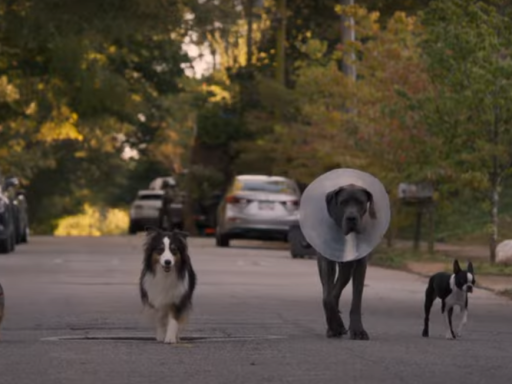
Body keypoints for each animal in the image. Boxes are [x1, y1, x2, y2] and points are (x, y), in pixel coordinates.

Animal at [304, 183, 376, 340]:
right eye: (343, 203)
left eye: (361, 202)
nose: (351, 218)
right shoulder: (325, 260)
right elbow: (327, 297)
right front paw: (335, 326)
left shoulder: (360, 263)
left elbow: (356, 299)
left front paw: (357, 330)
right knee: (331, 291)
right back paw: (333, 325)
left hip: (347, 269)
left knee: (337, 288)